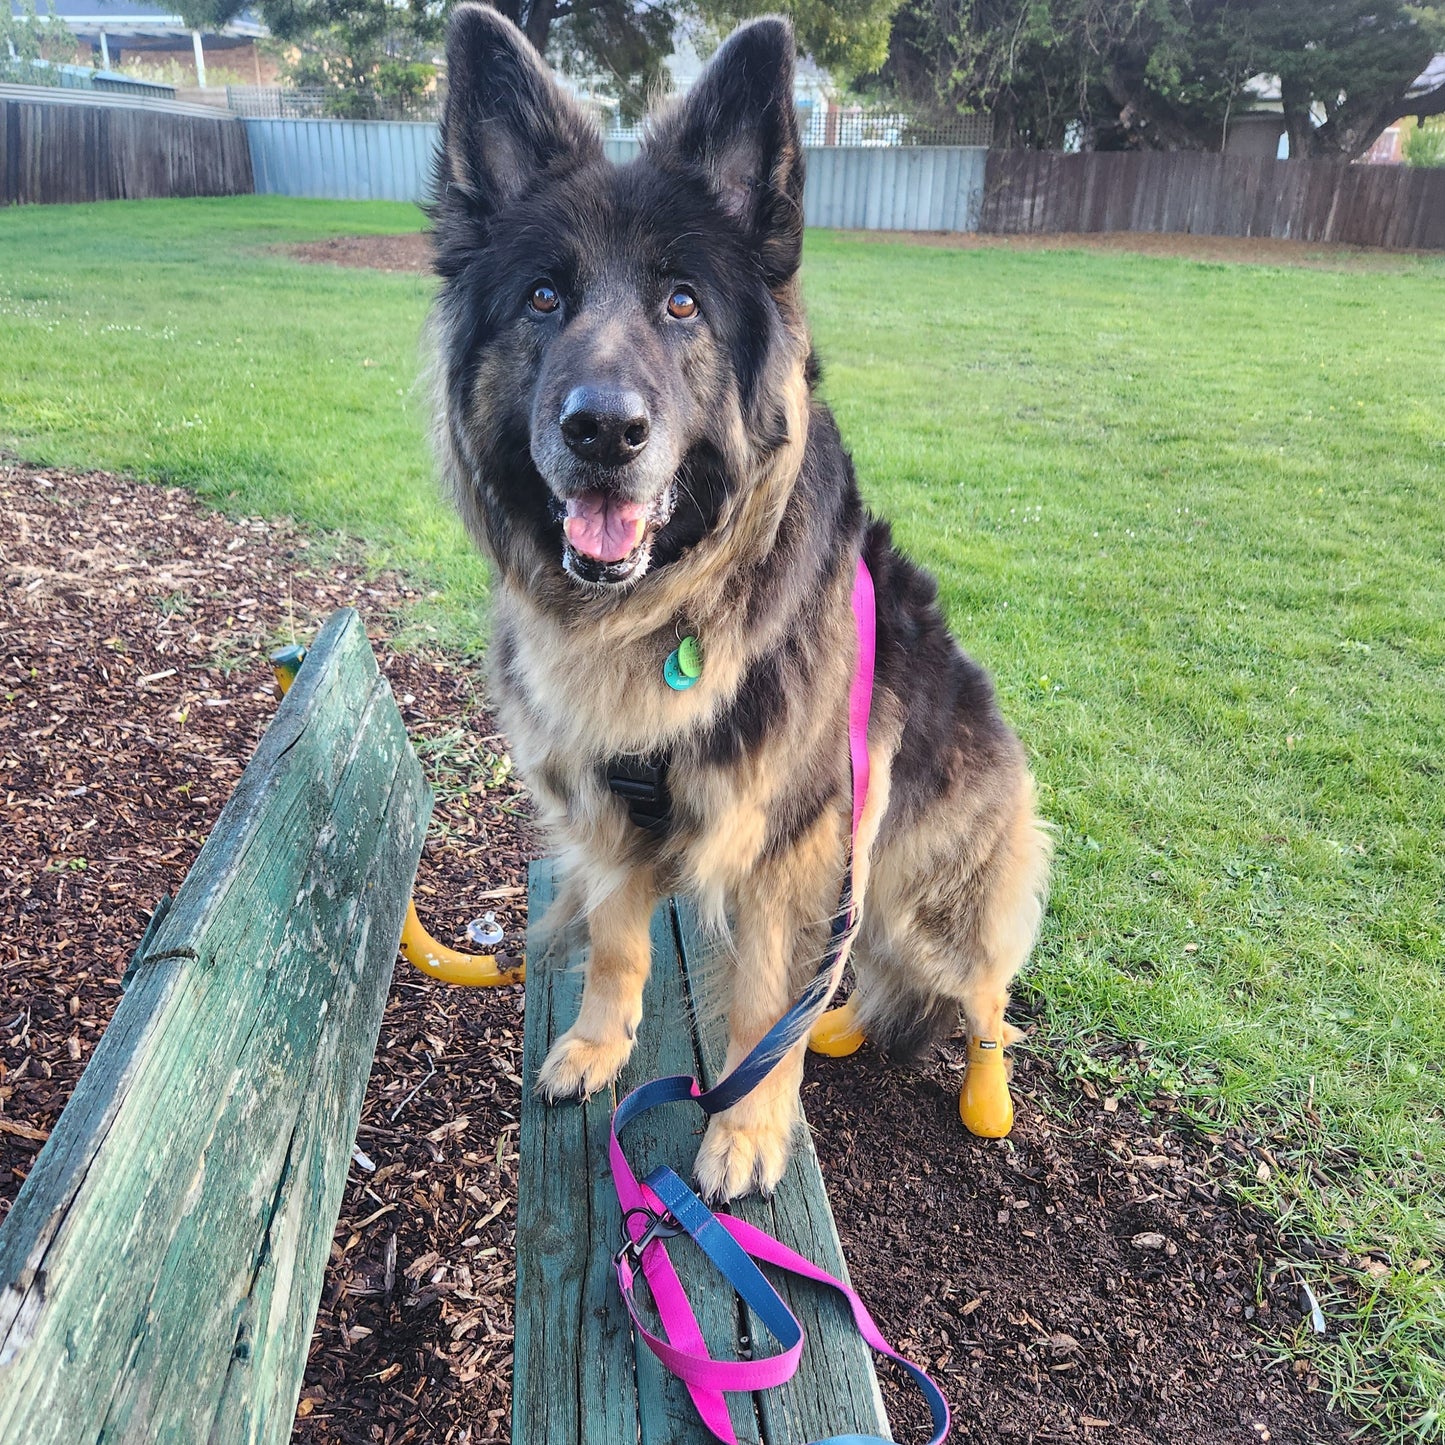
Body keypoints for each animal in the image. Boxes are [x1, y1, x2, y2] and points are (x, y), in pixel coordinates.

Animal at [427, 2, 1051, 1196]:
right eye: (542, 297)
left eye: (682, 301)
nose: (603, 430)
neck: (659, 610)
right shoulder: (608, 817)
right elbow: (618, 943)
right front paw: (595, 1044)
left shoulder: (794, 845)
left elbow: (764, 1004)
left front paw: (749, 1131)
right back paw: (845, 1023)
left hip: (932, 891)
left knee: (980, 991)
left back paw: (977, 1086)